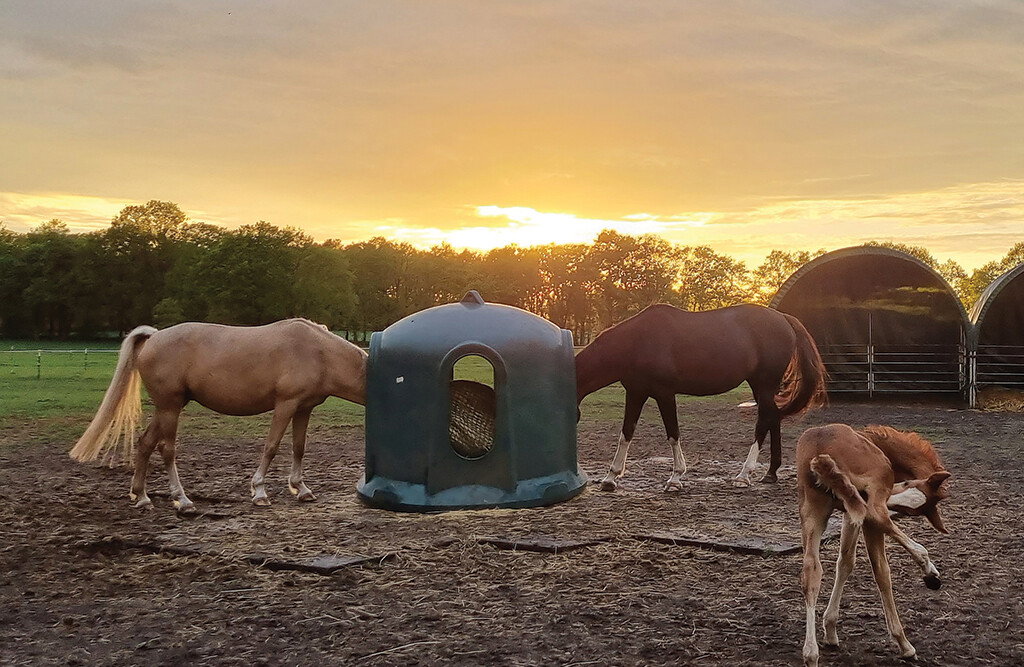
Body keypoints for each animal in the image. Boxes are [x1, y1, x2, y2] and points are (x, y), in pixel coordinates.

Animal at [70, 319, 367, 511]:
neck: (319, 352)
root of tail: (154, 337)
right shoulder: (286, 404)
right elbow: (271, 447)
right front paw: (259, 491)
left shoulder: (304, 408)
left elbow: (299, 448)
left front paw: (301, 489)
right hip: (170, 407)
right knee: (167, 449)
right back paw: (182, 501)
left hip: (167, 408)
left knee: (145, 445)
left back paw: (142, 497)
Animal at [574, 303, 826, 491]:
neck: (637, 341)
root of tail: (783, 318)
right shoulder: (636, 393)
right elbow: (626, 433)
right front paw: (610, 478)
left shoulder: (665, 394)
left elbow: (673, 433)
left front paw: (675, 478)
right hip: (763, 387)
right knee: (773, 418)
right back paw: (771, 472)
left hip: (763, 384)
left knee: (764, 421)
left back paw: (744, 475)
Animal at [797, 424, 951, 666]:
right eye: (907, 482)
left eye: (912, 512)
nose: (894, 501)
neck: (878, 443)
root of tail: (820, 452)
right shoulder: (867, 505)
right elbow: (880, 571)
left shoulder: (850, 513)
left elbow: (846, 561)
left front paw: (830, 630)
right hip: (870, 498)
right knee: (876, 518)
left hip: (813, 511)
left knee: (811, 572)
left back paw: (811, 654)